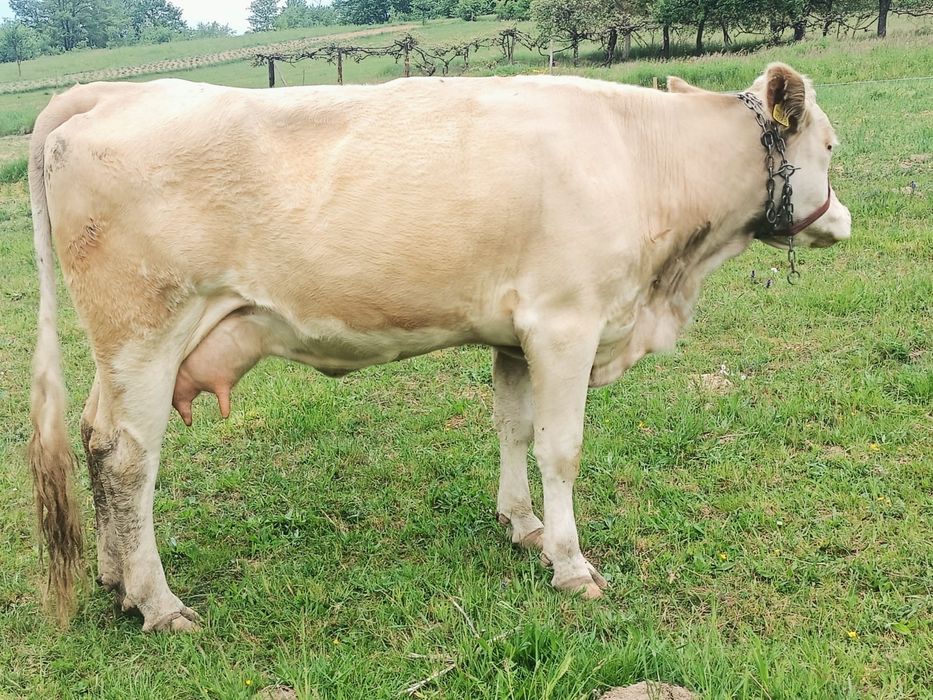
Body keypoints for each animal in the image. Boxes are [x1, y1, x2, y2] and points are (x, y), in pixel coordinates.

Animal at [28, 63, 851, 631]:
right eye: (831, 145)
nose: (842, 221)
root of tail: (104, 94)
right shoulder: (565, 321)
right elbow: (561, 448)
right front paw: (570, 562)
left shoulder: (518, 333)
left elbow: (513, 427)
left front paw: (522, 526)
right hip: (144, 331)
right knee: (129, 457)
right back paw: (158, 602)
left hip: (121, 350)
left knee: (96, 437)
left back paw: (114, 578)